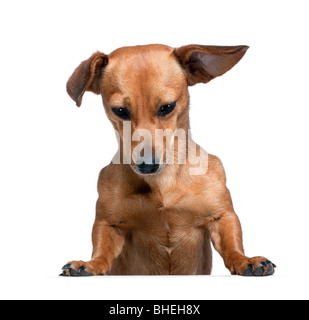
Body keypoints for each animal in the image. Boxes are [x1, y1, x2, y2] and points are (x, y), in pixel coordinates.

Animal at [60, 43, 274, 276]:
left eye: (167, 107)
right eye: (120, 111)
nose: (147, 165)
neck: (162, 182)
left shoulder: (222, 216)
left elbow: (232, 244)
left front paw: (245, 260)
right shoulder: (108, 224)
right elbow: (102, 250)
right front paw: (91, 264)